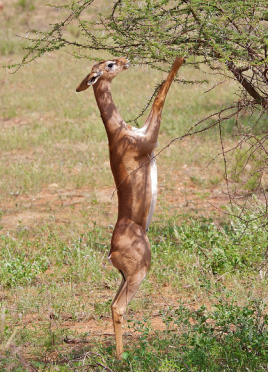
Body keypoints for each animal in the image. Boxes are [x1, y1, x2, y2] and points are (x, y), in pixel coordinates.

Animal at [76, 56, 183, 358]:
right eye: (109, 65)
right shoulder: (150, 139)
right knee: (118, 307)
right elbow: (159, 99)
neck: (119, 133)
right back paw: (121, 356)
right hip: (139, 273)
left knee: (111, 304)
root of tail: (112, 252)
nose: (125, 60)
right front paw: (180, 58)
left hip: (125, 277)